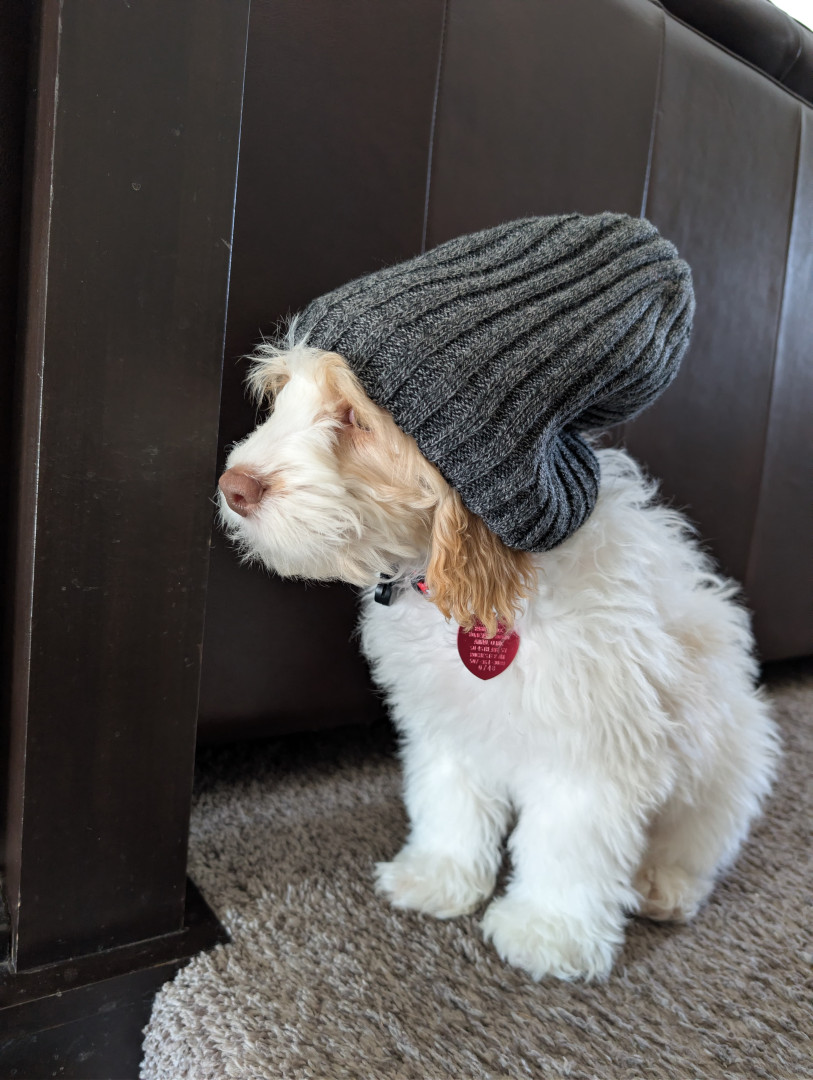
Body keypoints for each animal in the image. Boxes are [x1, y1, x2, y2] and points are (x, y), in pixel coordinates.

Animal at [218, 336, 779, 982]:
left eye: (355, 416)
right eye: (284, 394)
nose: (233, 487)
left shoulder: (589, 745)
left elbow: (567, 841)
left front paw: (549, 932)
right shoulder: (448, 723)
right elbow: (451, 801)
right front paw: (439, 877)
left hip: (728, 754)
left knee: (700, 835)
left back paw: (664, 884)